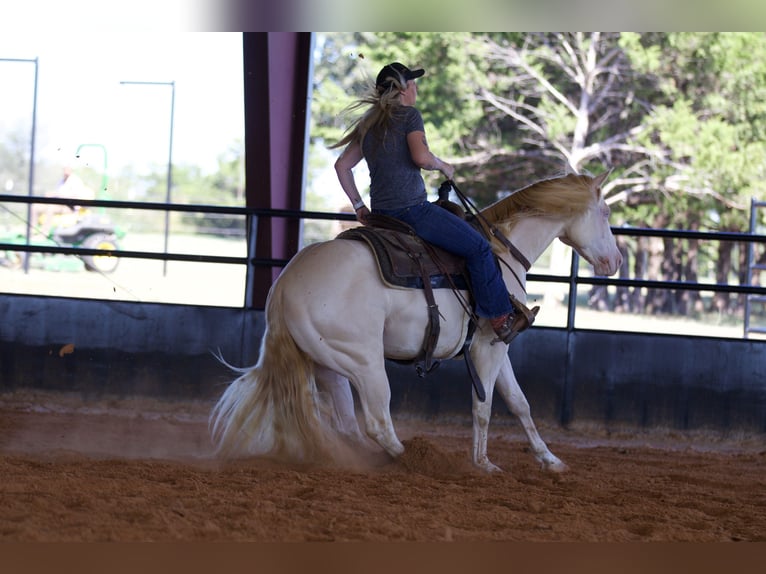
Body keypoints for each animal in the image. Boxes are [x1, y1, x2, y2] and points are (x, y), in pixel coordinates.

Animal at [210, 173, 624, 474]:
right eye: (605, 213)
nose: (616, 261)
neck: (500, 253)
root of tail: (285, 286)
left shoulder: (498, 346)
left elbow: (519, 403)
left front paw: (550, 460)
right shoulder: (487, 347)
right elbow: (484, 405)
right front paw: (483, 464)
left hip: (328, 366)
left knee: (348, 425)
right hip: (364, 363)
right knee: (377, 423)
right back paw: (422, 461)